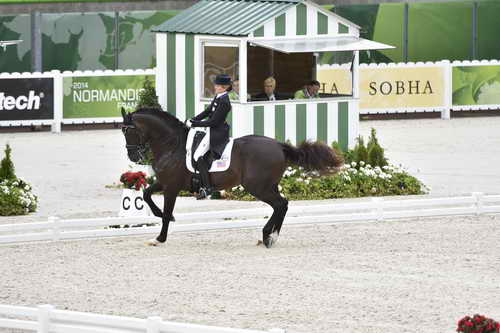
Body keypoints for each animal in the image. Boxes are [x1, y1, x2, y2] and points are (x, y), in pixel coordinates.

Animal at [120, 107, 344, 248]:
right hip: (268, 186)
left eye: (129, 131)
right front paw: (159, 218)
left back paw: (268, 236)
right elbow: (147, 195)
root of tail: (279, 146)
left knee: (280, 204)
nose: (133, 157)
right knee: (283, 204)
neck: (171, 144)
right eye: (123, 131)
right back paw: (270, 236)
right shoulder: (165, 182)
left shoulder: (172, 186)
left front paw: (159, 238)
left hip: (258, 187)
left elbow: (167, 213)